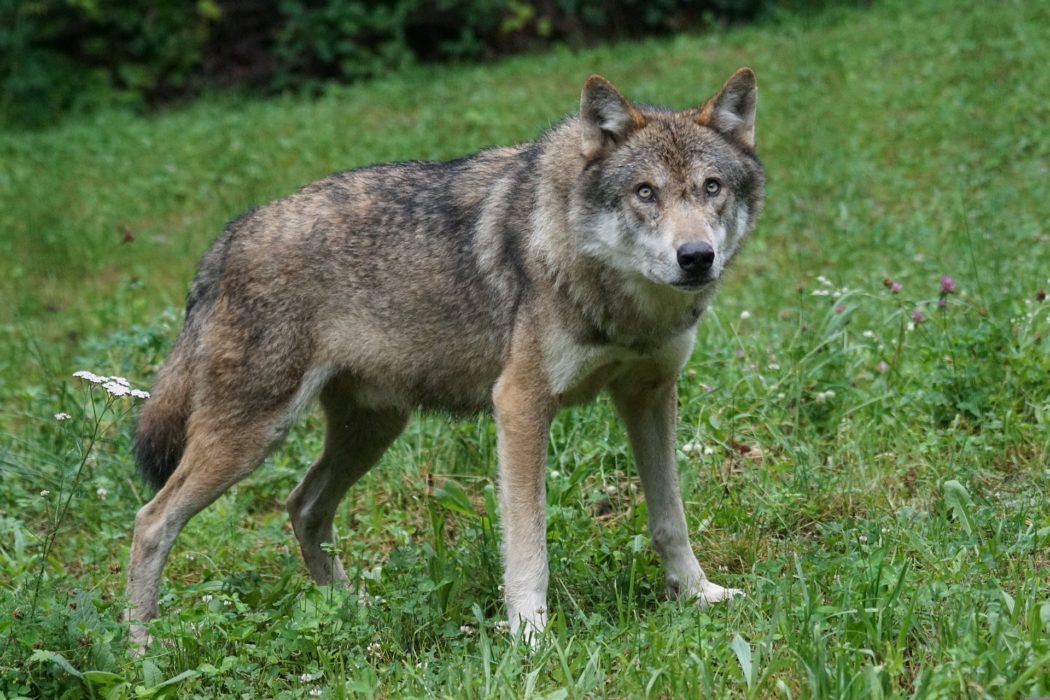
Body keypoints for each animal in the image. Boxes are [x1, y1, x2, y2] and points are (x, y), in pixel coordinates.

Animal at [125, 68, 765, 648]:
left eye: (711, 187)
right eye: (645, 192)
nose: (696, 257)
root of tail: (225, 240)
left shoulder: (649, 395)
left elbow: (669, 519)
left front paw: (699, 595)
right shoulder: (521, 407)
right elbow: (528, 545)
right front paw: (530, 637)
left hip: (371, 430)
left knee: (303, 505)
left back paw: (352, 611)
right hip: (252, 439)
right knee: (151, 521)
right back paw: (139, 650)